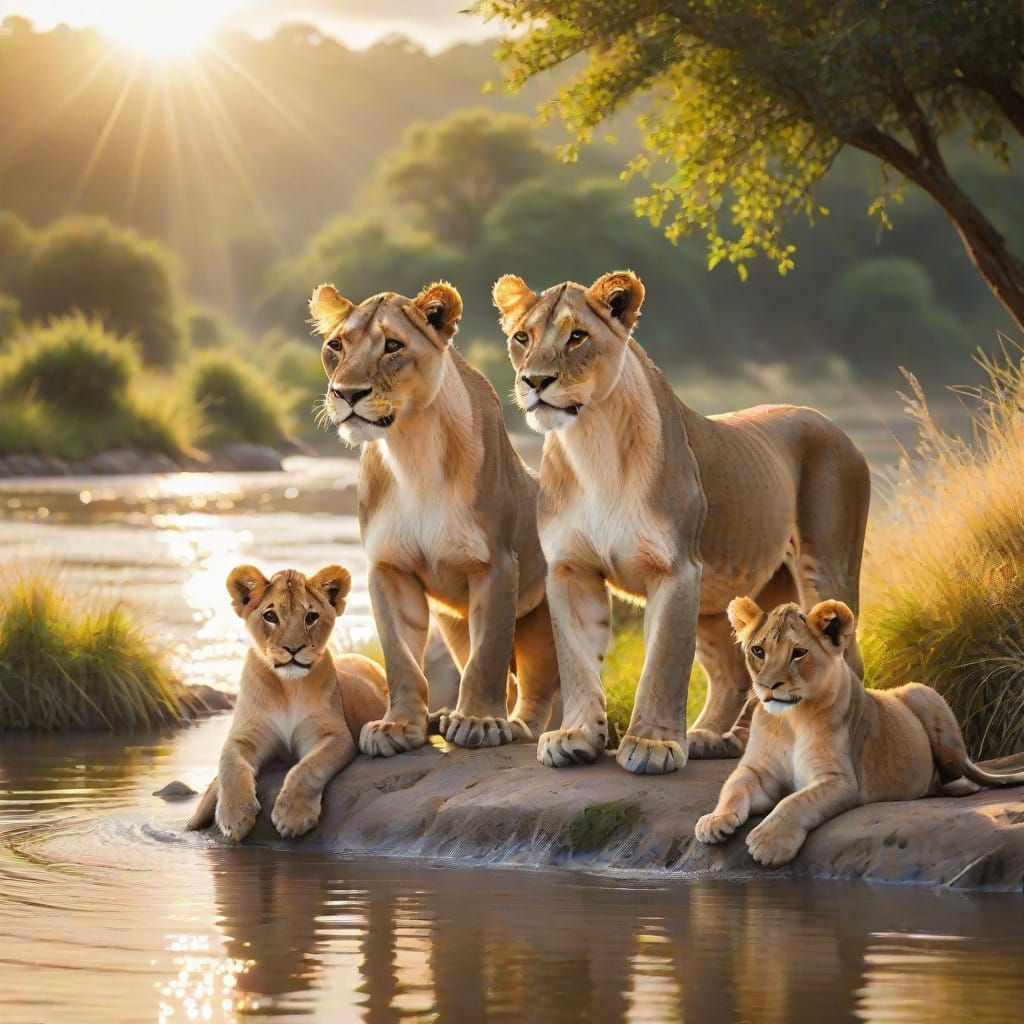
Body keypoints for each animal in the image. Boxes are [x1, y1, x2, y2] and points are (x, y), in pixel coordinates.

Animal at [185, 564, 386, 842]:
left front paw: (292, 816)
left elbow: (308, 768)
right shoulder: (244, 736)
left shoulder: (334, 735)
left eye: (311, 617)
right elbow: (229, 766)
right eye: (271, 616)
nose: (293, 649)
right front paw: (234, 816)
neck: (288, 688)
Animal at [308, 281, 559, 756]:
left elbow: (487, 656)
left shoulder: (496, 565)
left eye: (392, 346)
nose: (346, 393)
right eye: (336, 346)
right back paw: (445, 716)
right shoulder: (389, 569)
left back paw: (516, 725)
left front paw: (480, 722)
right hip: (454, 622)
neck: (410, 446)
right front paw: (397, 726)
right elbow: (401, 657)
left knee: (539, 688)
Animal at [493, 270, 870, 774]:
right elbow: (576, 659)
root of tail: (833, 422)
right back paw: (715, 739)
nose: (535, 381)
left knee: (845, 660)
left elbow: (663, 663)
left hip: (825, 567)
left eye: (577, 337)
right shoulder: (571, 568)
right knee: (738, 675)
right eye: (523, 338)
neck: (590, 442)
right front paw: (575, 736)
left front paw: (652, 745)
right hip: (725, 598)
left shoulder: (676, 569)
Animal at [695, 597, 1024, 866]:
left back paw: (966, 786)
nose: (768, 686)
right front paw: (715, 820)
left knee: (966, 768)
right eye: (758, 651)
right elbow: (735, 786)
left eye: (798, 653)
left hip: (923, 696)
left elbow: (796, 802)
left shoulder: (841, 780)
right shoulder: (760, 772)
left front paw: (769, 842)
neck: (791, 720)